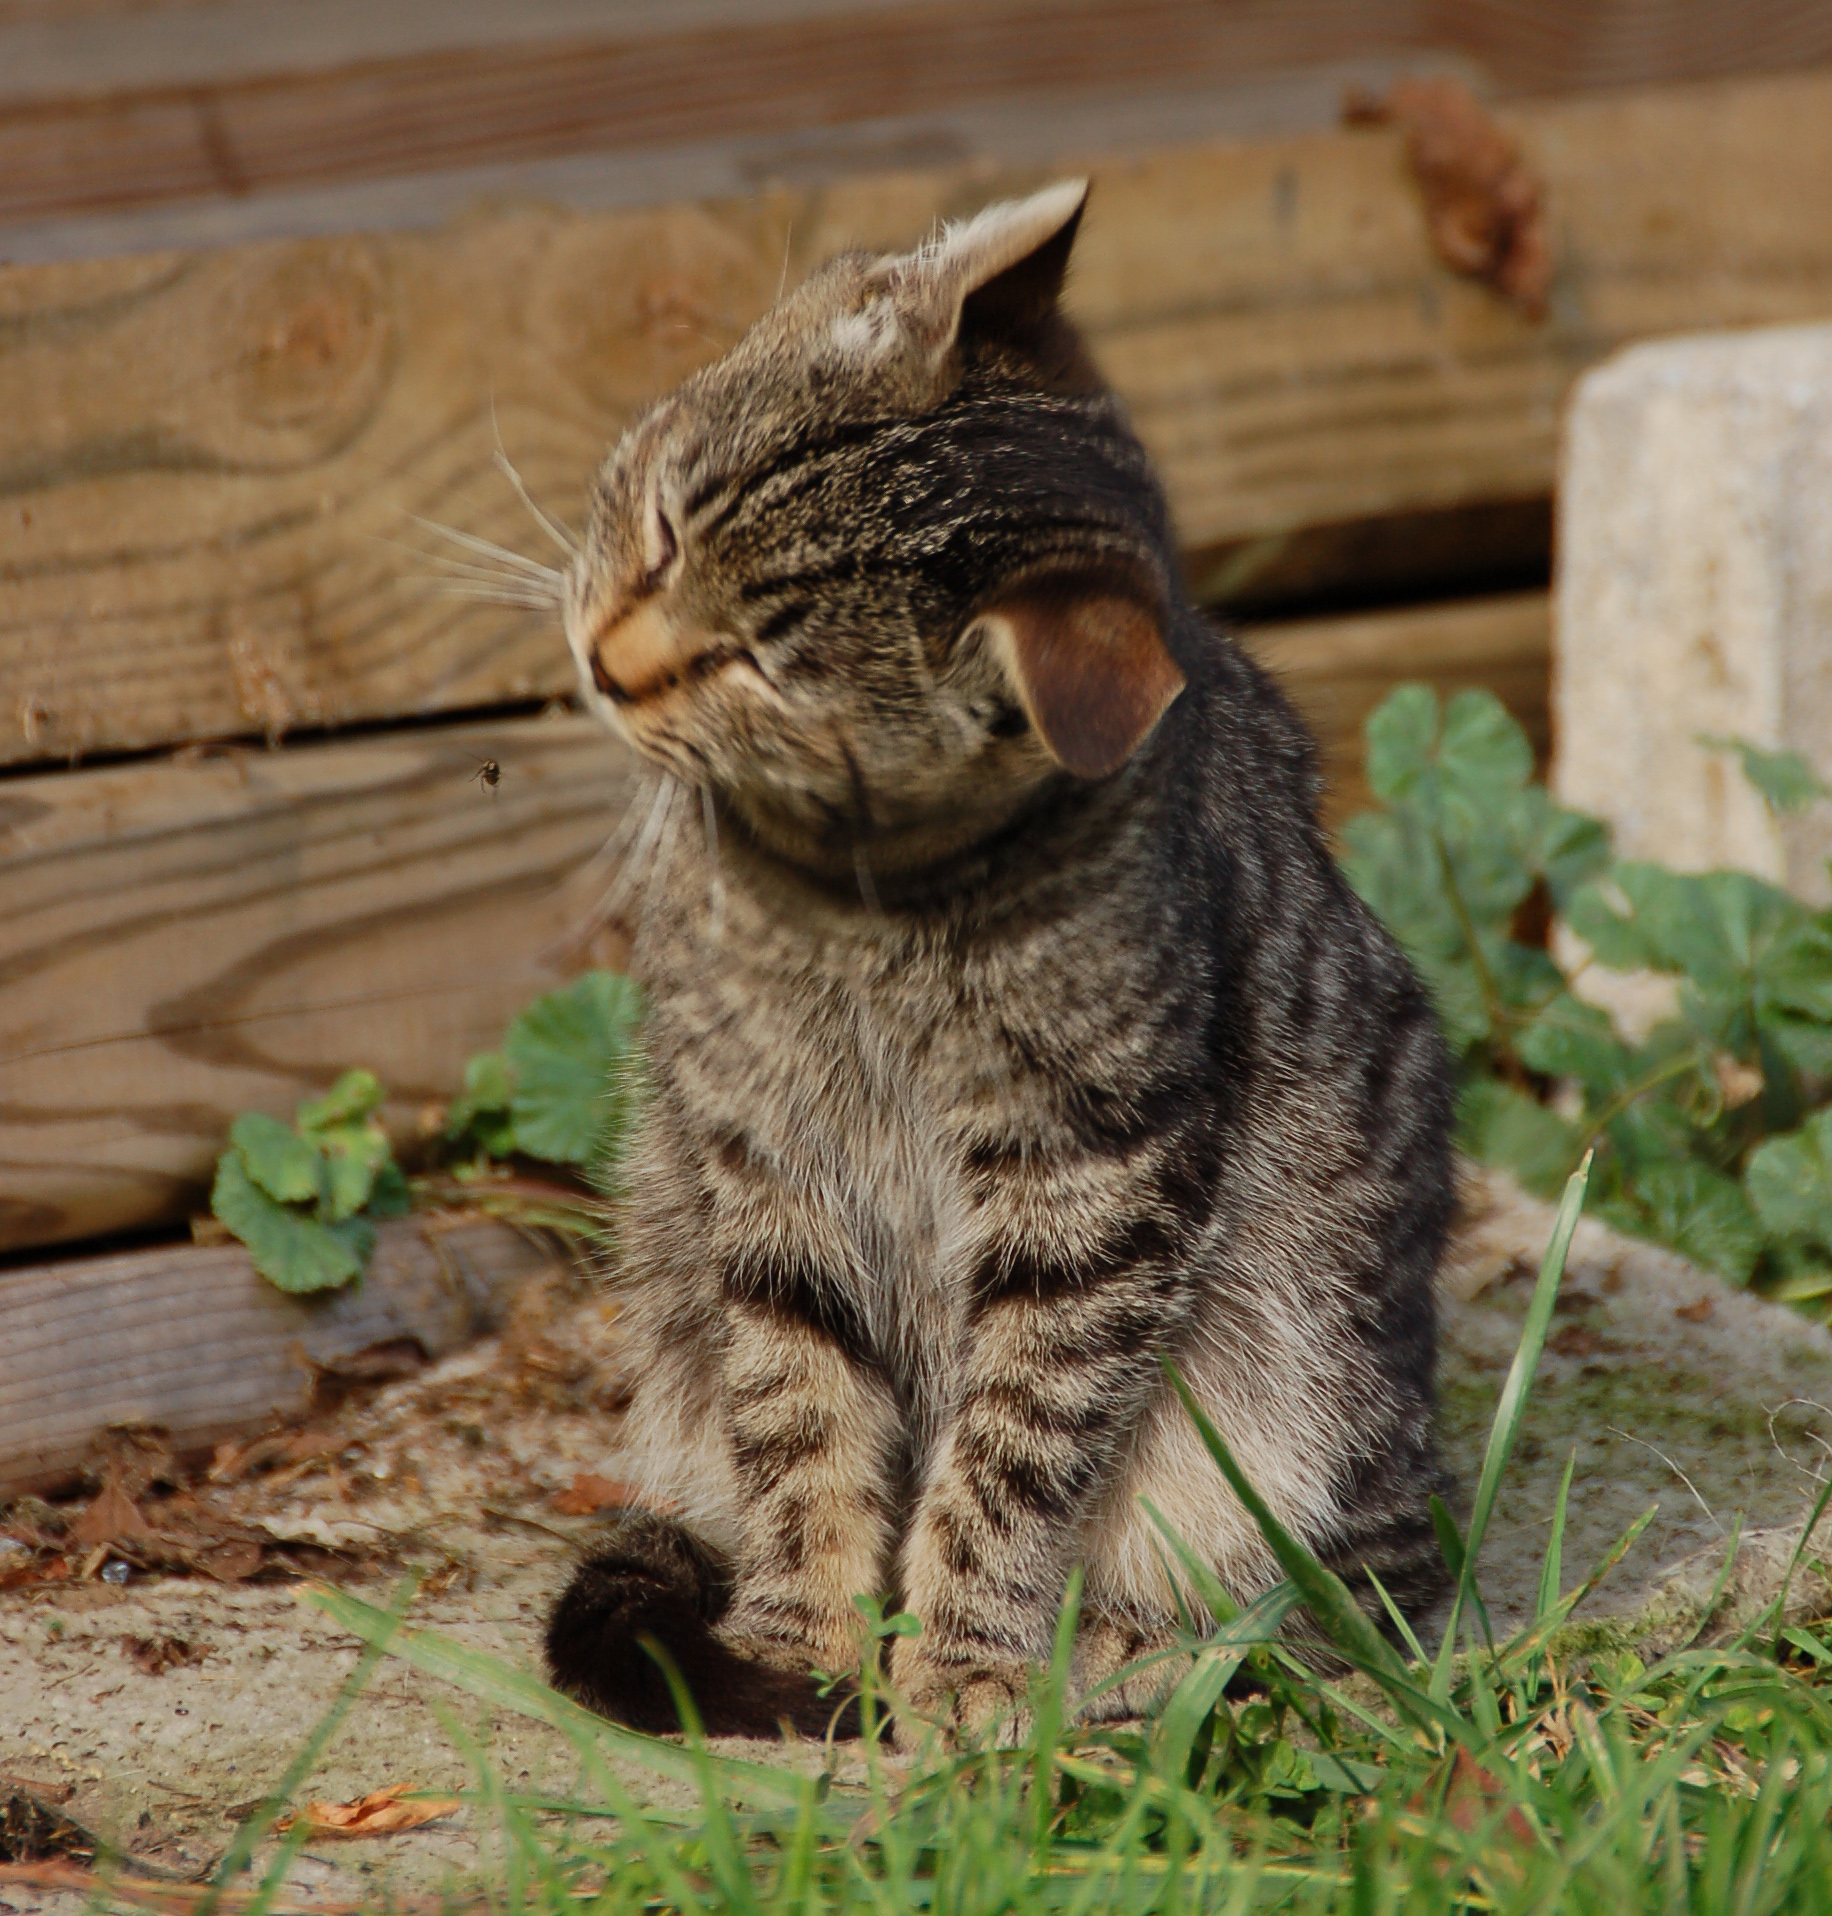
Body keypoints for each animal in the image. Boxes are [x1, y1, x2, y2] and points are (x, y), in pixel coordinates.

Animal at [536, 182, 1456, 1755]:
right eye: (659, 522)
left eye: (756, 667)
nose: (606, 658)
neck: (849, 897)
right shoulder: (761, 1162)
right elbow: (799, 1418)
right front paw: (800, 1637)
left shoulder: (1094, 1176)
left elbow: (1016, 1447)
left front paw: (963, 1657)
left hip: (1319, 1369)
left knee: (1330, 1589)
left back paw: (1136, 1648)